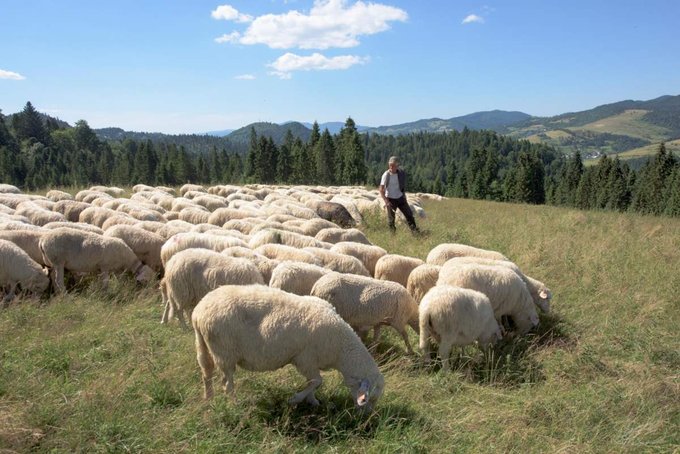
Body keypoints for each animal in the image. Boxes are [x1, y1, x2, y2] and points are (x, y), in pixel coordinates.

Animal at [191, 284, 386, 408]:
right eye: (371, 399)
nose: (366, 418)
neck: (341, 351)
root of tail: (198, 312)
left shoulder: (310, 363)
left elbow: (313, 382)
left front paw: (313, 402)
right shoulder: (305, 359)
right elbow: (317, 381)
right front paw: (296, 399)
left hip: (203, 346)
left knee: (206, 374)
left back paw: (208, 399)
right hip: (224, 352)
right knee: (227, 383)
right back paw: (234, 404)